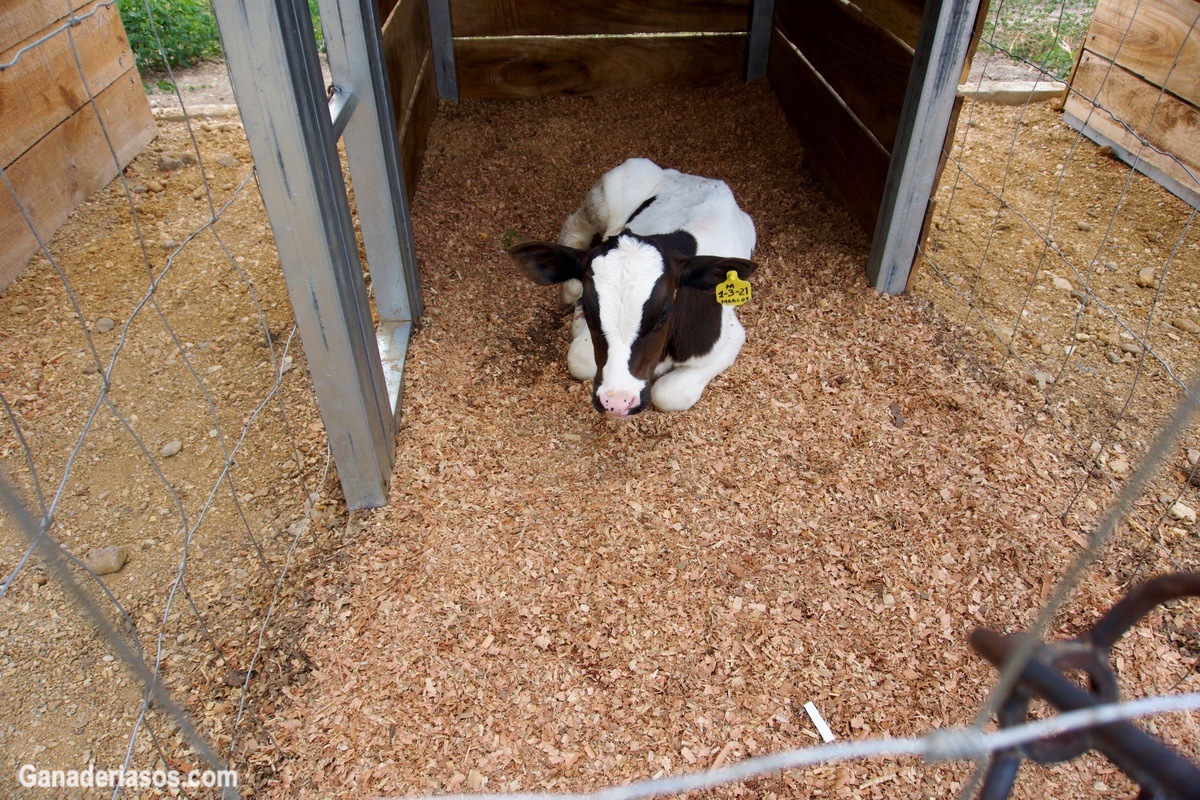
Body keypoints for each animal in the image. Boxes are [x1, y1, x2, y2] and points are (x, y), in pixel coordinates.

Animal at [508, 158, 753, 419]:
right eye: (591, 312)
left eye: (663, 315)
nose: (617, 401)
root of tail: (699, 178)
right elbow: (579, 358)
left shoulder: (730, 338)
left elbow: (668, 393)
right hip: (608, 191)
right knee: (575, 223)